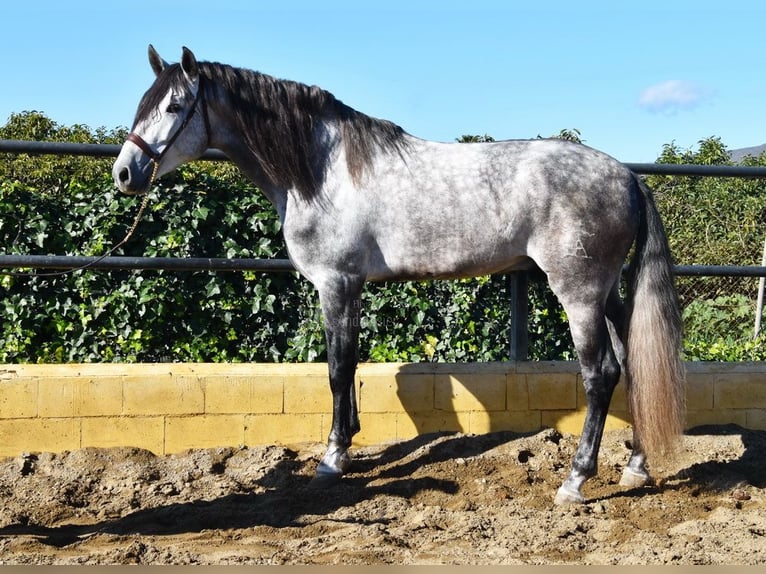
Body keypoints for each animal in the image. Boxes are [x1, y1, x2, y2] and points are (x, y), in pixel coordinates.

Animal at [115, 47, 688, 506]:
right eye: (142, 104)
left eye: (174, 106)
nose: (124, 173)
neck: (321, 171)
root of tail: (628, 176)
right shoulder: (349, 289)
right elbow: (348, 368)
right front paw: (347, 443)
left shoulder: (337, 284)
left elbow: (338, 369)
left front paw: (333, 458)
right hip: (607, 294)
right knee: (632, 366)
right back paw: (635, 468)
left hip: (579, 294)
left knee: (601, 374)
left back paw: (574, 482)